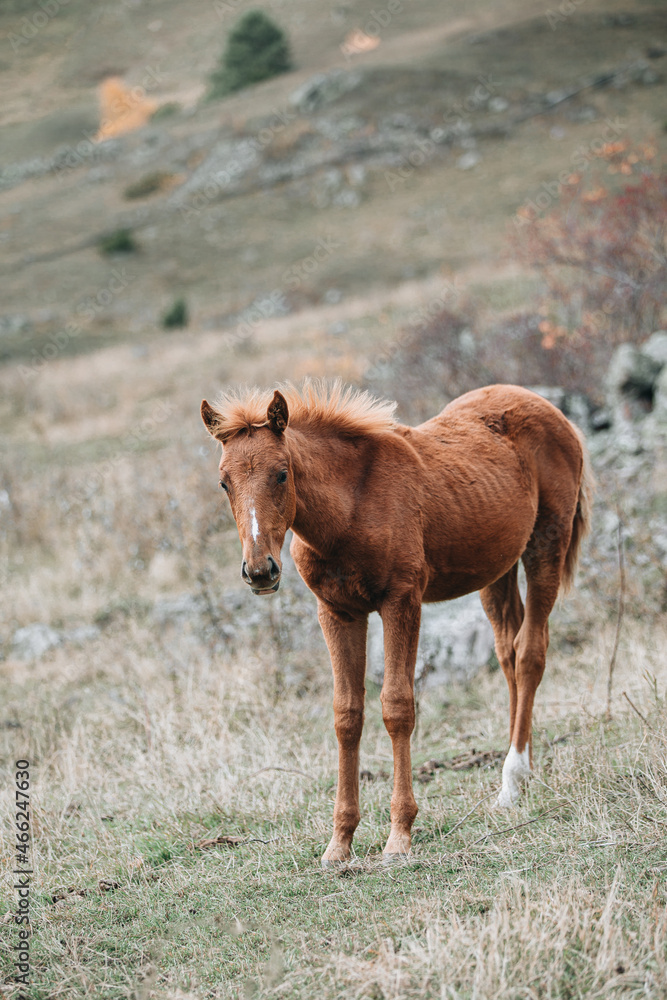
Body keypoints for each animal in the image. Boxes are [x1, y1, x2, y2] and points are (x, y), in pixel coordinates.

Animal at [200, 380, 593, 866]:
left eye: (282, 473)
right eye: (224, 482)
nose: (260, 571)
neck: (349, 510)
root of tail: (550, 409)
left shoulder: (402, 601)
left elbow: (398, 706)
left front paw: (399, 835)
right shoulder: (337, 613)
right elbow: (347, 715)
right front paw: (339, 842)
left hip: (546, 545)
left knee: (531, 653)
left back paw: (513, 779)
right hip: (497, 569)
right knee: (509, 651)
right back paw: (525, 767)